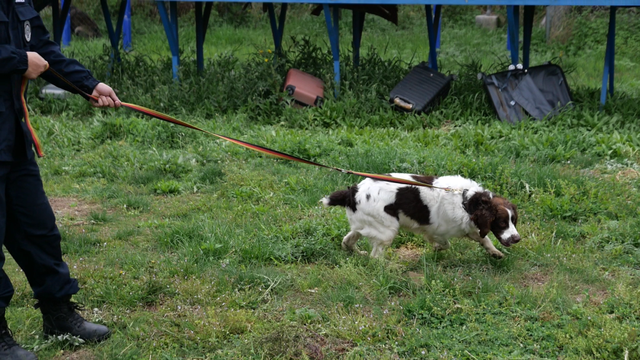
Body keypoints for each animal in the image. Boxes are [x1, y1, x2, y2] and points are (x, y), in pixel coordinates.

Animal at [320, 173, 520, 258]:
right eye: (502, 223)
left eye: (513, 221)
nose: (517, 239)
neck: (467, 201)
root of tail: (352, 192)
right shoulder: (436, 230)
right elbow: (445, 244)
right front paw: (437, 249)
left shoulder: (469, 228)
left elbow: (484, 239)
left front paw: (494, 252)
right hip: (387, 230)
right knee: (375, 257)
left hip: (364, 224)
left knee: (347, 240)